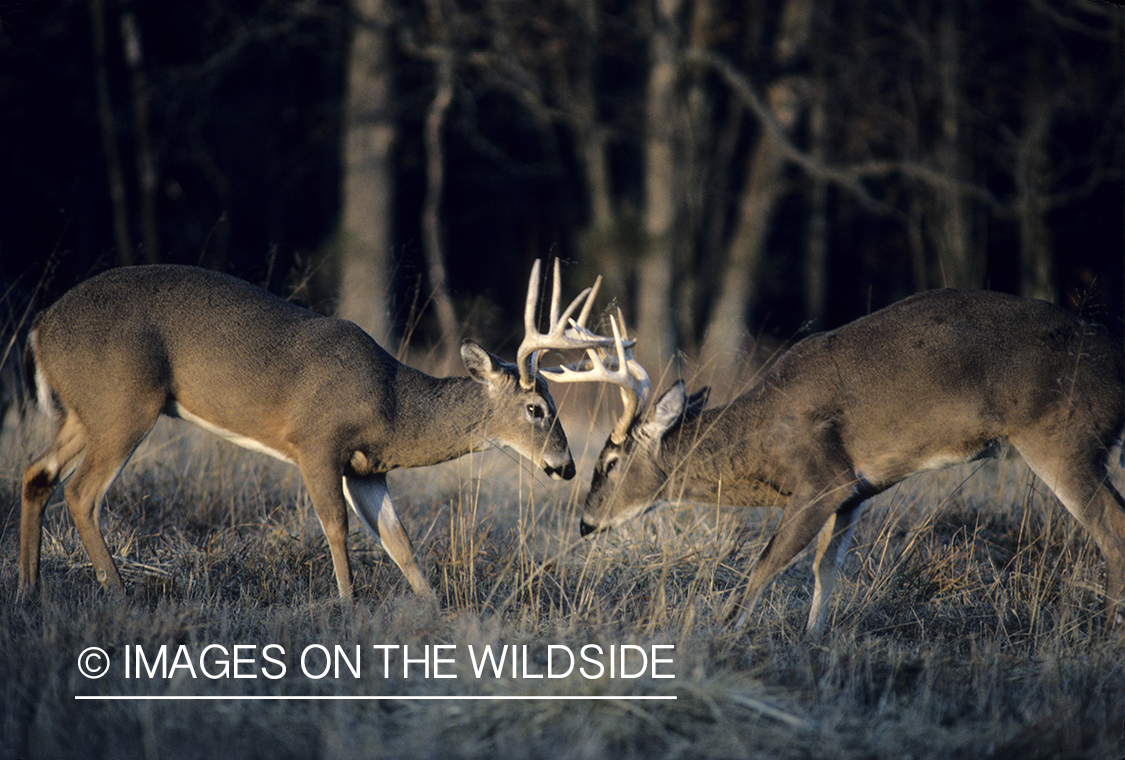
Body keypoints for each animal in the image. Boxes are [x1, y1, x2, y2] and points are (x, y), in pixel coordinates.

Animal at [19, 260, 616, 598]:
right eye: (537, 408)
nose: (566, 466)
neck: (392, 406)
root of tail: (40, 328)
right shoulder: (317, 442)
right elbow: (337, 529)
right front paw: (348, 607)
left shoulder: (368, 470)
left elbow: (401, 544)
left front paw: (436, 613)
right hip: (124, 403)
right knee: (81, 491)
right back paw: (119, 595)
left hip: (86, 412)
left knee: (36, 474)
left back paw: (31, 592)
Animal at [567, 287, 1125, 634]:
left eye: (610, 462)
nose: (586, 523)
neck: (760, 444)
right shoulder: (858, 490)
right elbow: (825, 565)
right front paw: (813, 639)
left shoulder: (823, 476)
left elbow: (768, 561)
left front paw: (724, 633)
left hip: (1062, 436)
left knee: (1112, 529)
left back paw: (1102, 638)